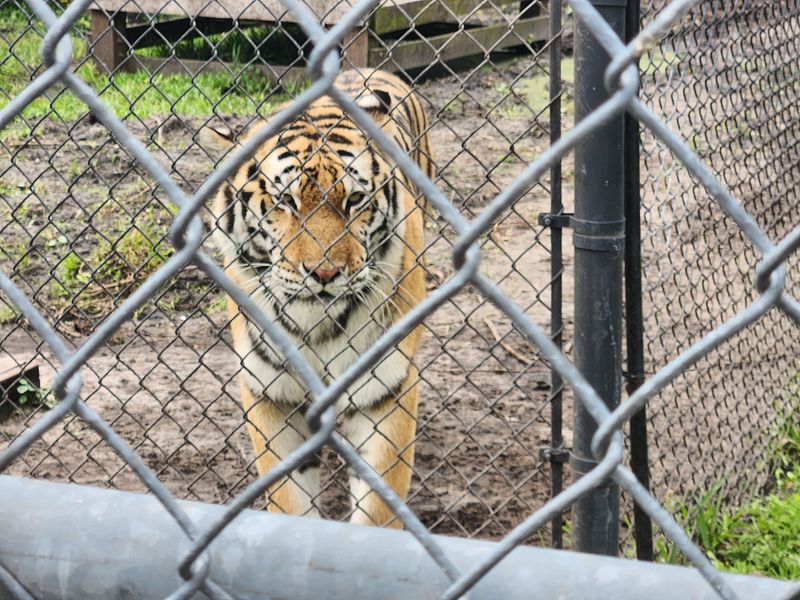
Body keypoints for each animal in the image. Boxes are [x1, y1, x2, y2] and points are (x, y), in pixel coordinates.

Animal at [201, 69, 433, 528]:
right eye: (285, 201)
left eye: (355, 200)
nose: (324, 274)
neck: (317, 326)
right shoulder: (271, 394)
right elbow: (289, 502)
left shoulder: (386, 392)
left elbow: (378, 512)